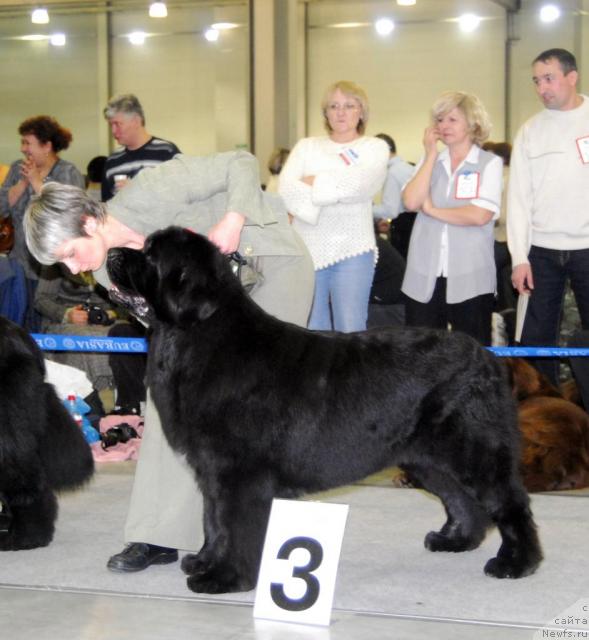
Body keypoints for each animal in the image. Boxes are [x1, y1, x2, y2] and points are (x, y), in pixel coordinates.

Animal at [107, 228, 544, 592]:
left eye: (150, 255)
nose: (111, 251)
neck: (195, 337)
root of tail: (489, 357)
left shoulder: (239, 472)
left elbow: (234, 524)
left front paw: (225, 577)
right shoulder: (213, 471)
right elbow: (213, 521)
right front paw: (203, 562)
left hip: (473, 449)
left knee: (510, 503)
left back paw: (517, 564)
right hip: (427, 457)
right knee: (462, 498)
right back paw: (455, 540)